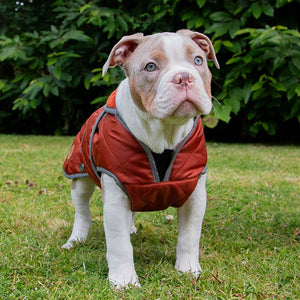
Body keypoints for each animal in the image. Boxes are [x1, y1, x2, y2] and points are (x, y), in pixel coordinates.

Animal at [62, 29, 219, 288]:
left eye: (198, 60)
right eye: (150, 66)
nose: (184, 77)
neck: (164, 134)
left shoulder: (194, 192)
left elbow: (189, 235)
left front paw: (187, 269)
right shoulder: (115, 194)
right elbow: (119, 245)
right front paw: (124, 280)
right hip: (80, 172)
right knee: (82, 210)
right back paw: (75, 240)